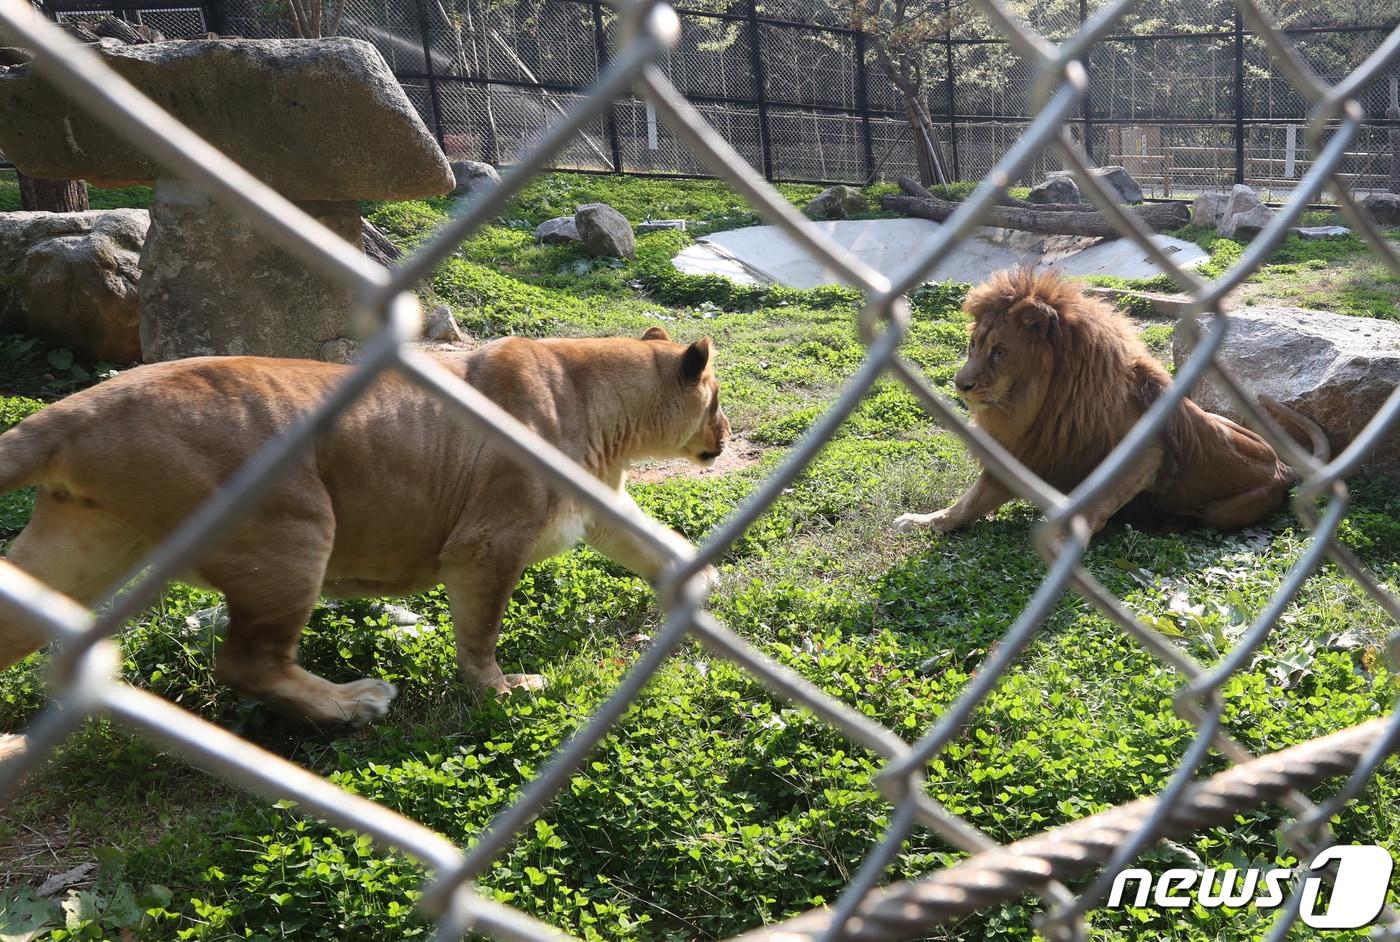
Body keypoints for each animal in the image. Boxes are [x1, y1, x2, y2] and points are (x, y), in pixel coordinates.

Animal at [0, 327, 728, 722]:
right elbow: (481, 631)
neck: (600, 406)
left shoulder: (596, 505)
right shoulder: (484, 545)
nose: (724, 436)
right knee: (245, 661)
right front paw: (501, 690)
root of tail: (77, 409)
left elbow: (653, 540)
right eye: (718, 401)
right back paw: (354, 703)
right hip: (290, 530)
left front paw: (702, 582)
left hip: (80, 546)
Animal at [896, 268, 1321, 540]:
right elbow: (965, 505)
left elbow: (1098, 502)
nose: (960, 385)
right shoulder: (1022, 454)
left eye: (1000, 351)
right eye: (973, 345)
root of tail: (1283, 468)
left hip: (1223, 510)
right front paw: (920, 521)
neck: (1036, 404)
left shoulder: (1145, 453)